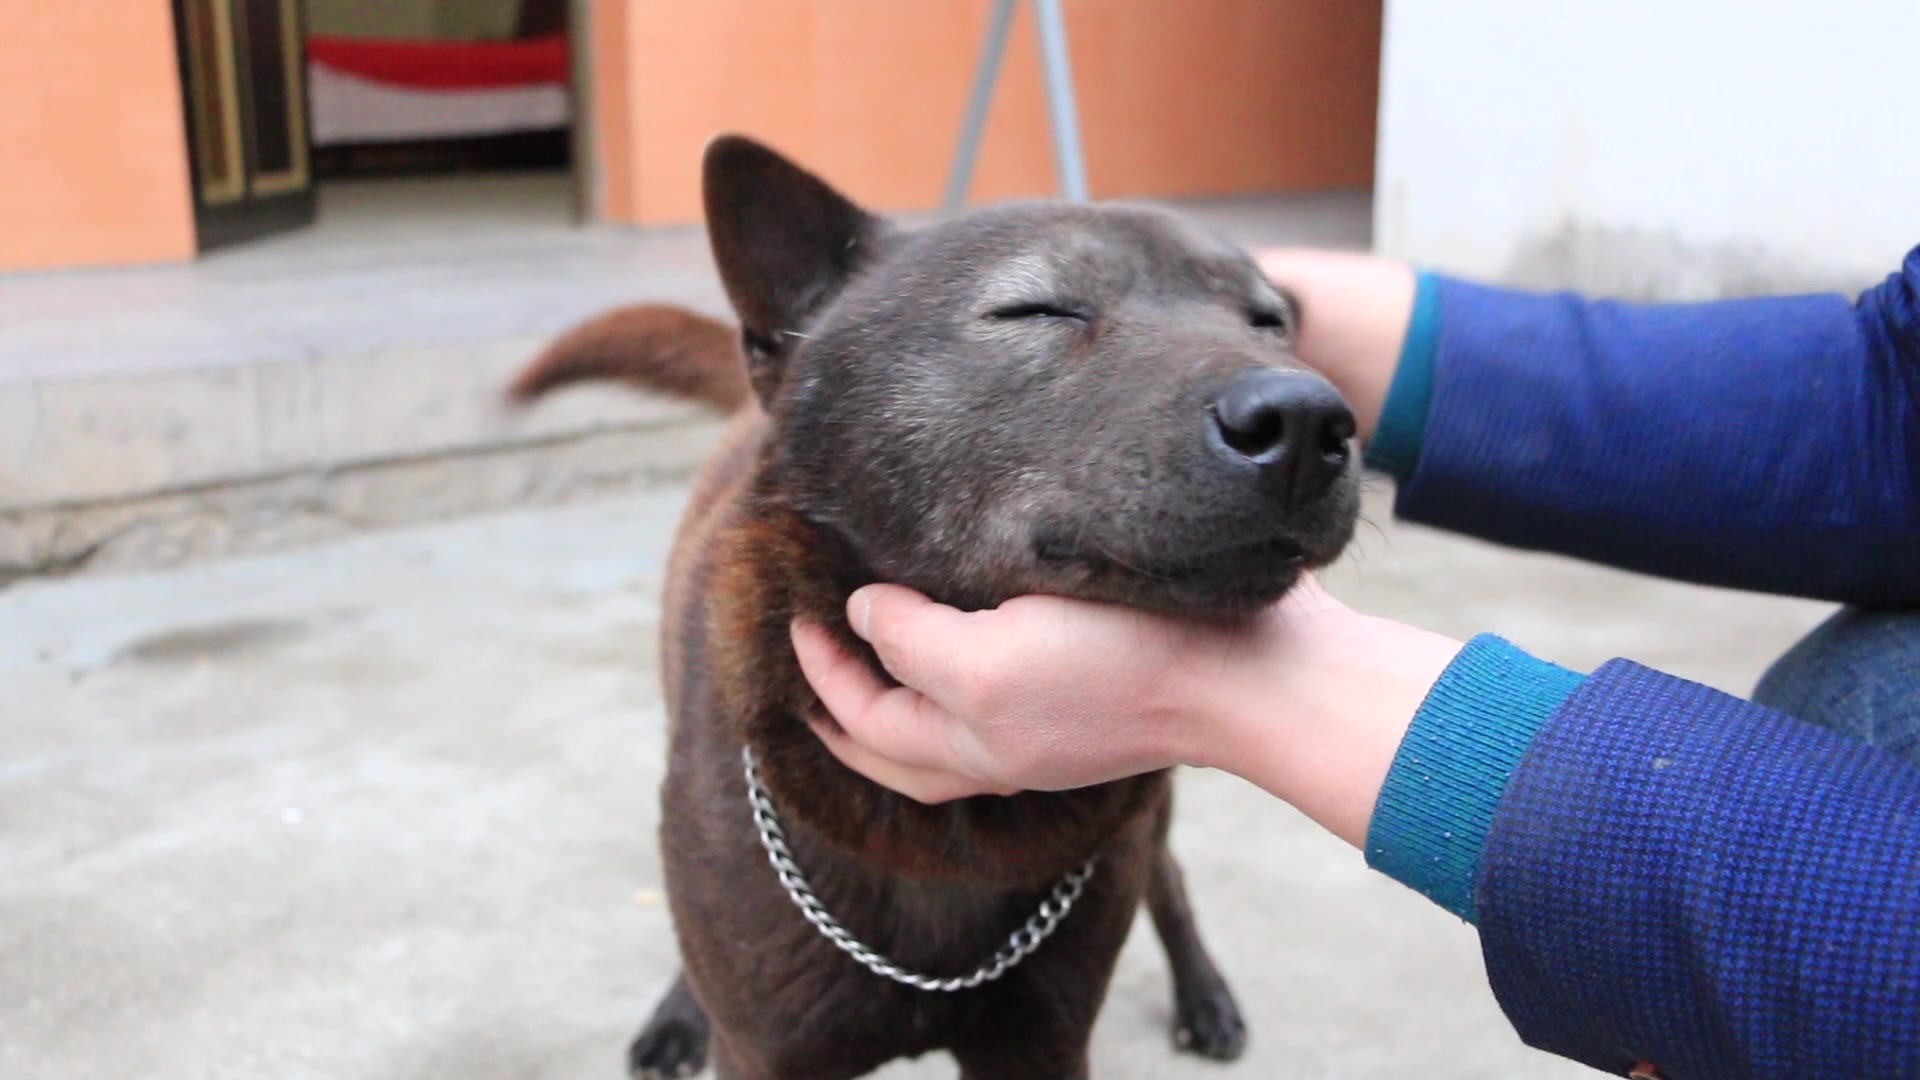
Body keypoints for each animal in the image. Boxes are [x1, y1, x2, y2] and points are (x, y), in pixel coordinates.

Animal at [503, 136, 1359, 1076]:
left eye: (1268, 321)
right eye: (1036, 309)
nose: (1308, 422)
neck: (949, 835)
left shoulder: (1044, 1043)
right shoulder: (767, 1049)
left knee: (1167, 876)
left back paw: (1203, 994)